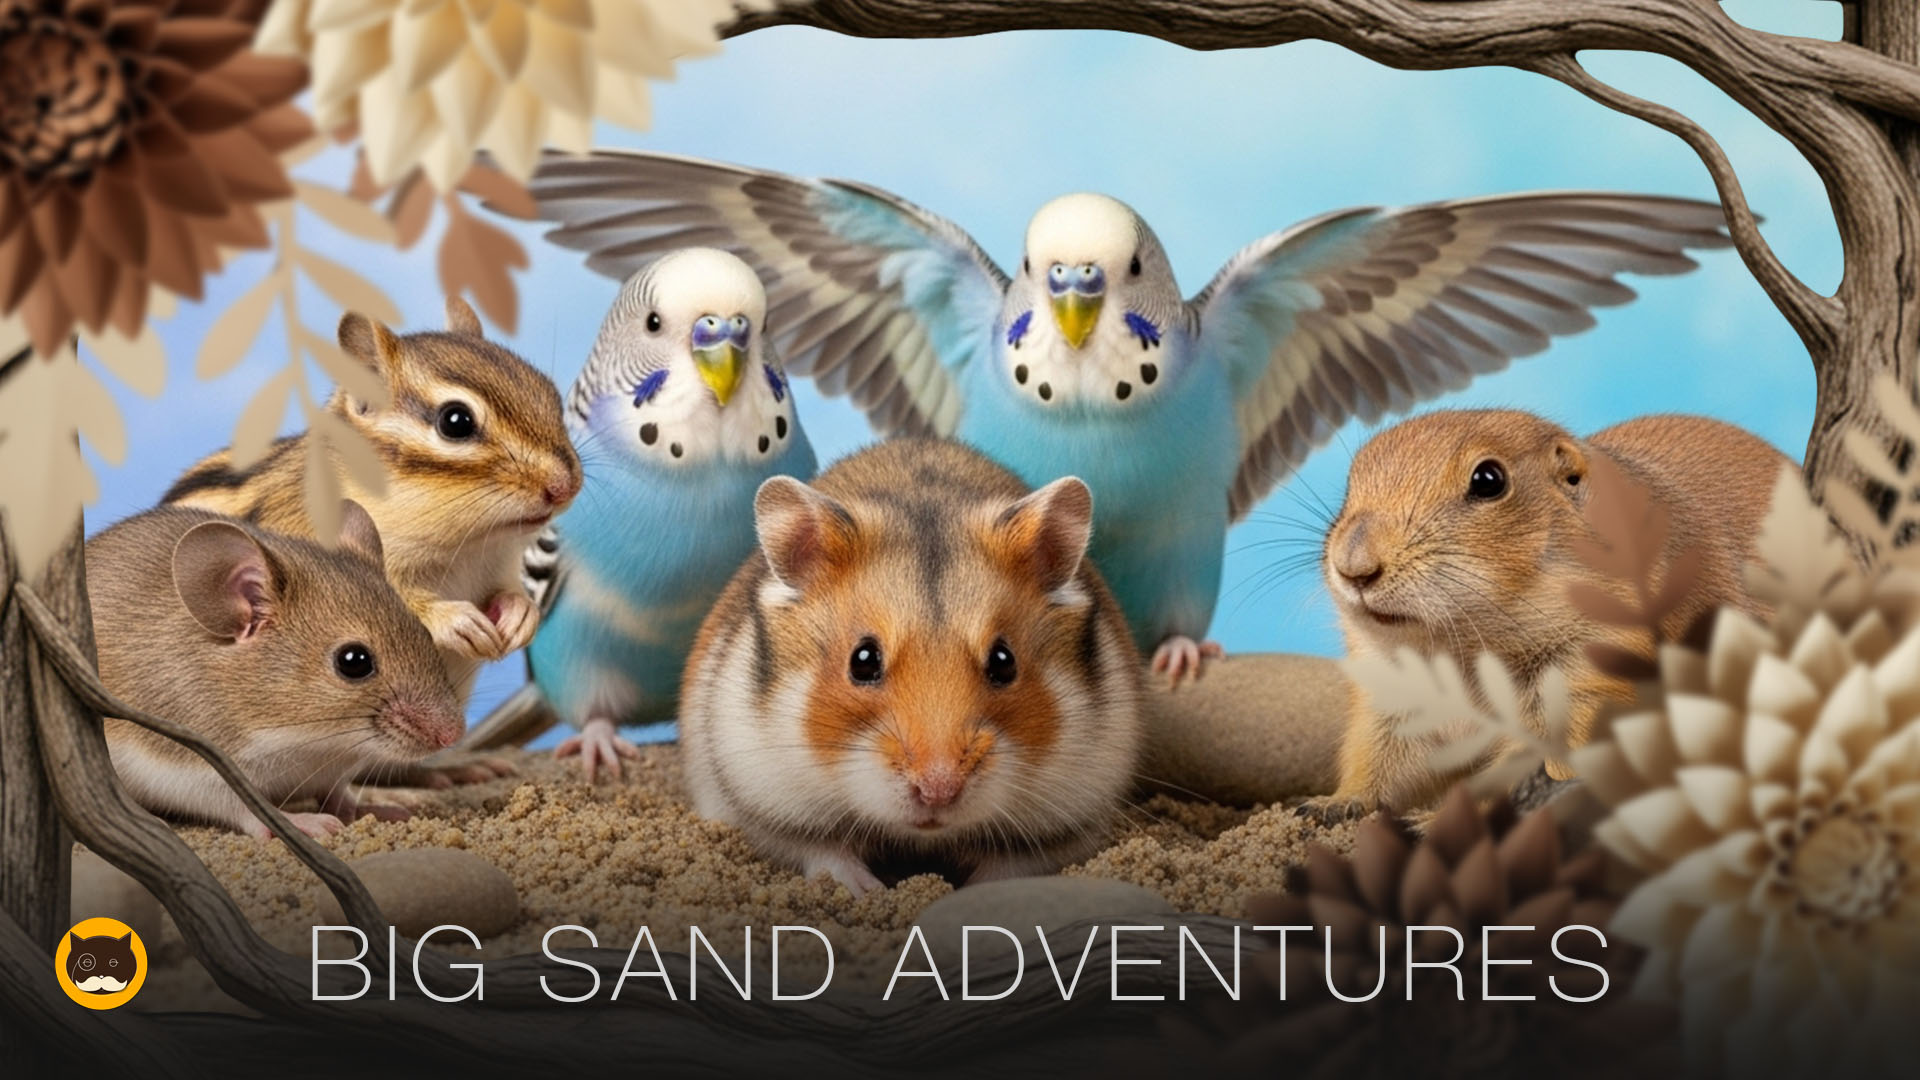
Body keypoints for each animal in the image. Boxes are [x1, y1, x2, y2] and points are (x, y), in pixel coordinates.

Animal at [86, 503, 464, 837]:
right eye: (353, 661)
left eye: (424, 632)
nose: (453, 735)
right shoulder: (192, 766)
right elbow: (249, 810)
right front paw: (307, 823)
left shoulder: (331, 772)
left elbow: (339, 794)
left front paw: (379, 809)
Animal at [162, 297, 582, 699]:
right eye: (456, 421)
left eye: (549, 392)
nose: (565, 485)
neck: (469, 548)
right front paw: (454, 620)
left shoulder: (500, 566)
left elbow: (512, 591)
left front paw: (521, 612)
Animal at [679, 438, 1144, 895]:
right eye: (863, 660)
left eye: (1004, 661)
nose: (938, 790)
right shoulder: (764, 803)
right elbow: (824, 850)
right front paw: (867, 891)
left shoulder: (1070, 819)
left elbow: (1010, 864)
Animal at [1317, 410, 1790, 815]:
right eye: (1350, 483)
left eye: (1488, 480)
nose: (1354, 566)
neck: (1460, 650)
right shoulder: (1389, 694)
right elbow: (1376, 752)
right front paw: (1334, 804)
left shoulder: (1589, 673)